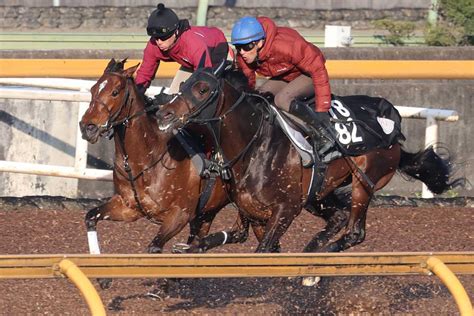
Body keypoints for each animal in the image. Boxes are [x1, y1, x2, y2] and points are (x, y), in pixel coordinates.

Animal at [78, 58, 233, 286]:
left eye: (115, 92)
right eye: (93, 89)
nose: (87, 127)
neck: (145, 160)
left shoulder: (179, 214)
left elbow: (154, 248)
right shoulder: (129, 207)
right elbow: (91, 216)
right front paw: (103, 277)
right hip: (207, 212)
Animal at [156, 64, 462, 254]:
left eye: (202, 89)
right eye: (185, 83)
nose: (164, 114)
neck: (255, 146)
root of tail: (393, 126)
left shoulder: (286, 209)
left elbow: (263, 249)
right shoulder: (251, 212)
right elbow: (224, 240)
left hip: (364, 182)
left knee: (355, 232)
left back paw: (313, 271)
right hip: (321, 192)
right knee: (338, 218)